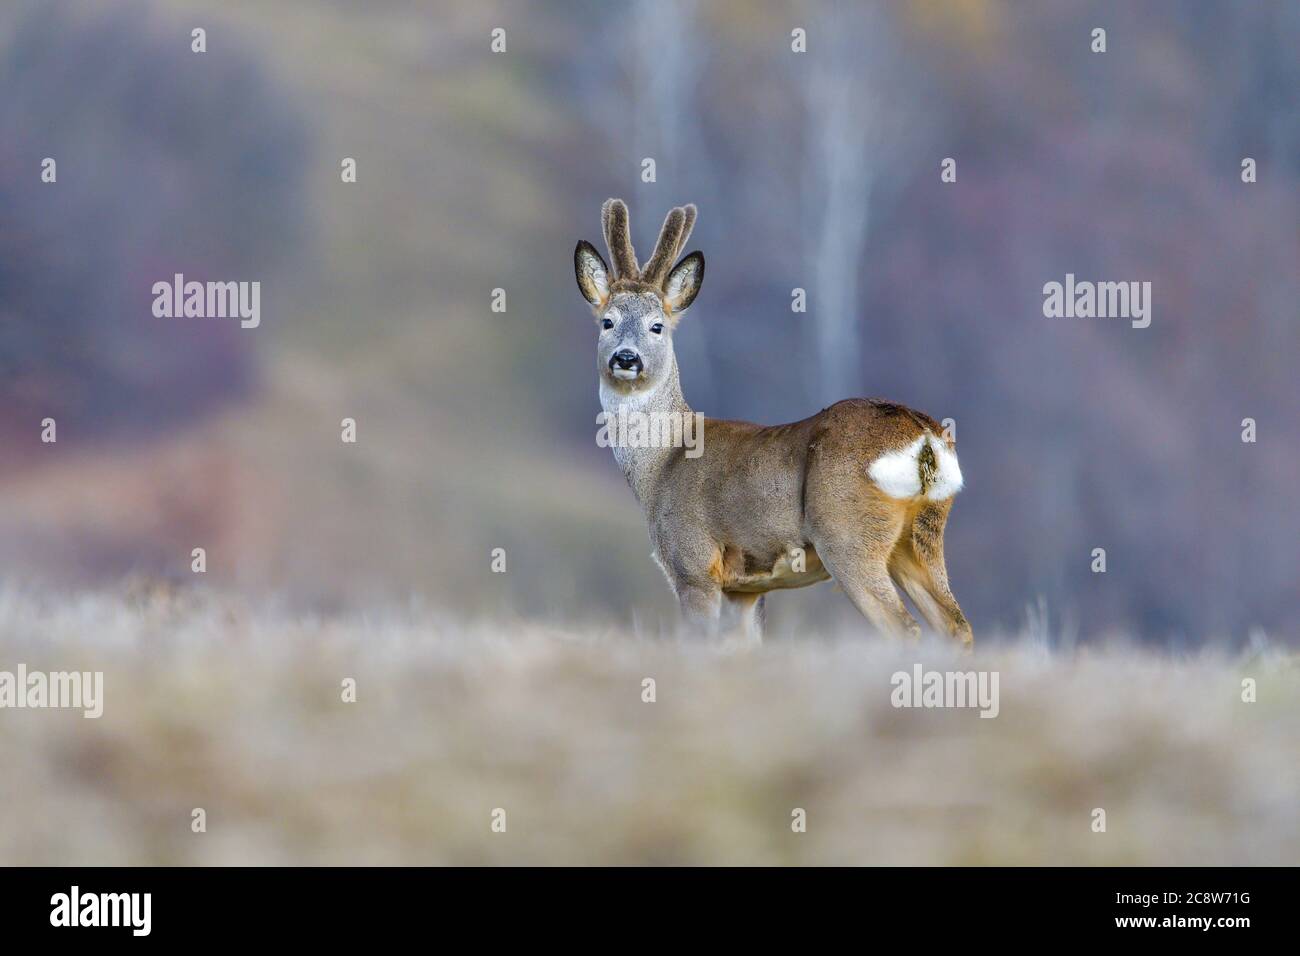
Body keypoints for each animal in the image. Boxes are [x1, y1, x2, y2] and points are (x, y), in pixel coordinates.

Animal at [575, 199, 972, 647]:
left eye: (656, 326)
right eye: (608, 321)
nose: (626, 358)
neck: (662, 463)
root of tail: (924, 437)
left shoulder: (694, 564)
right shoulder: (745, 587)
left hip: (848, 535)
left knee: (905, 628)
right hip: (921, 538)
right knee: (956, 626)